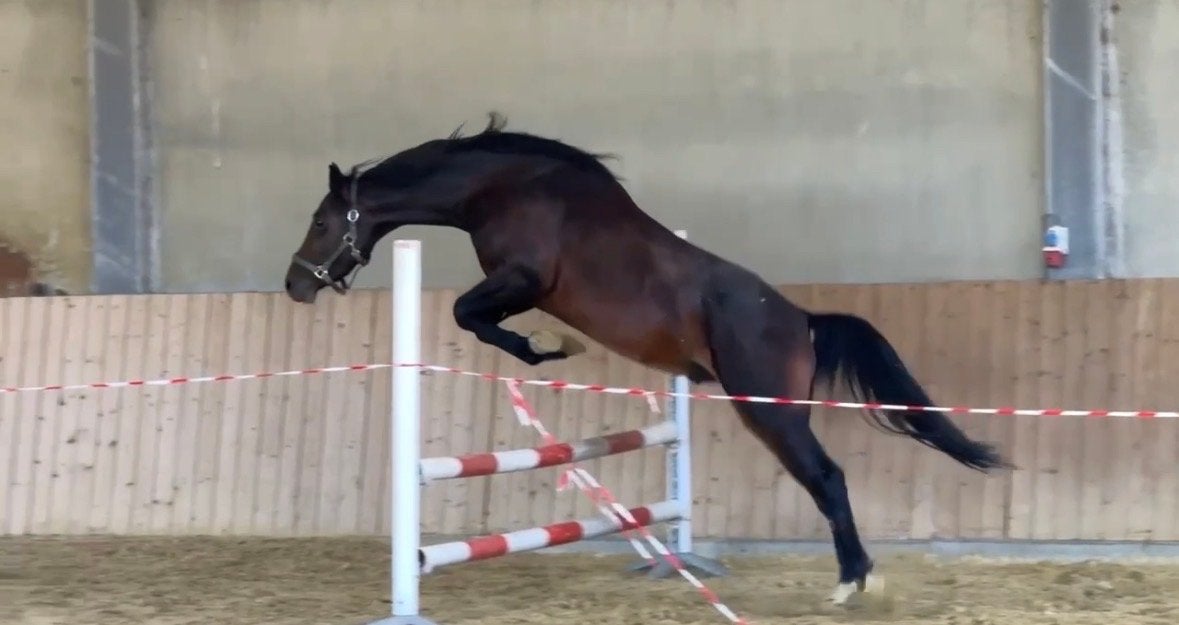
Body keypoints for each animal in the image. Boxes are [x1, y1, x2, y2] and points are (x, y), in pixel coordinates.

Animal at [283, 113, 1011, 605]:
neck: (505, 187)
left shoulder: (522, 280)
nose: (294, 284)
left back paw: (850, 581)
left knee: (827, 479)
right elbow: (479, 320)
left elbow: (474, 317)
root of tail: (801, 321)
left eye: (321, 223)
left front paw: (550, 346)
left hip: (770, 414)